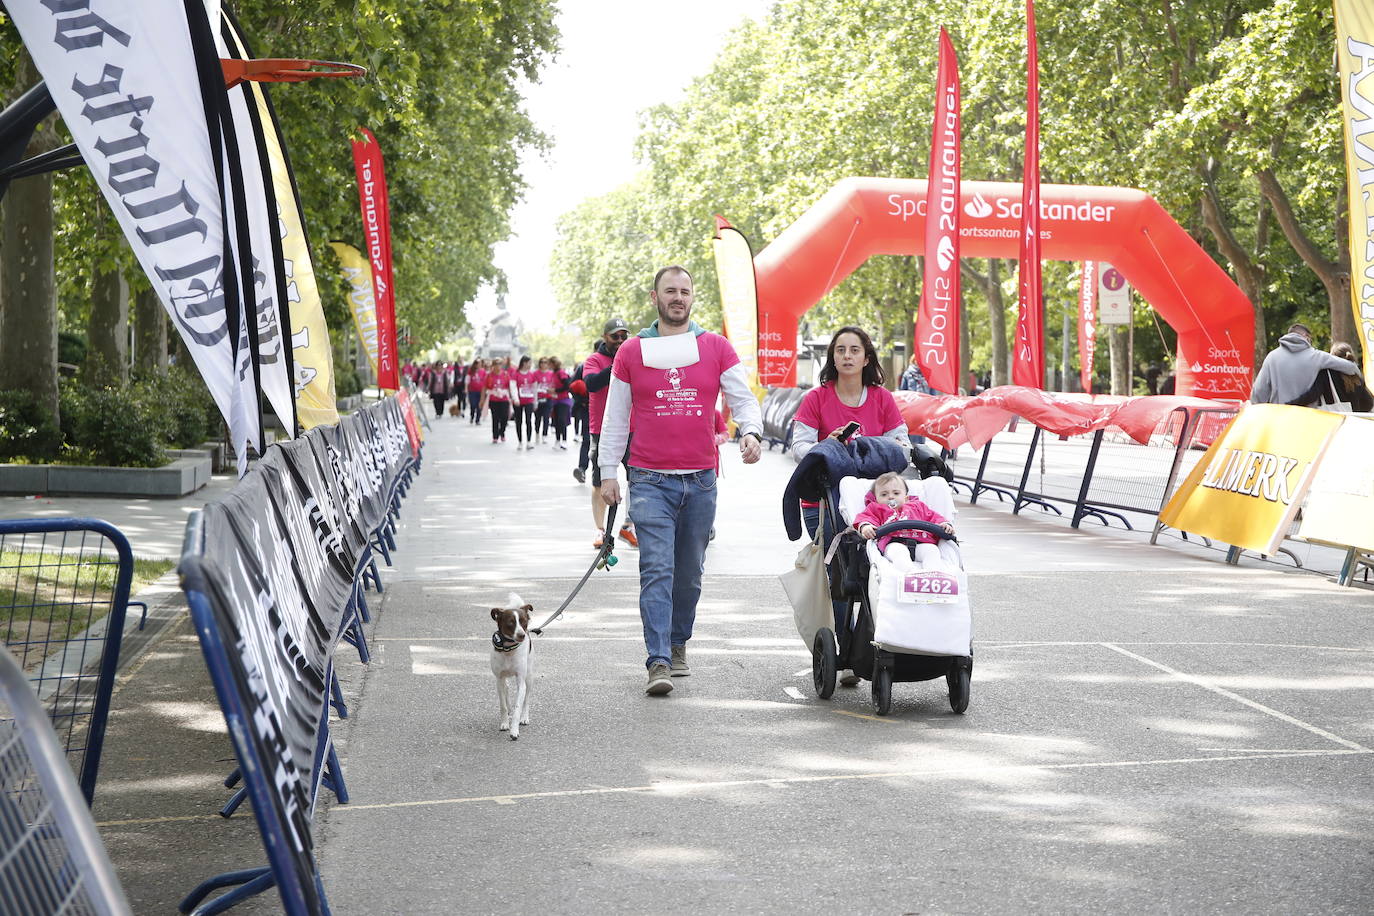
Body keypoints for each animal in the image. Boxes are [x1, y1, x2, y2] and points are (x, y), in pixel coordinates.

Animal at [489, 596, 530, 736]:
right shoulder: (499, 679)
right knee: (506, 689)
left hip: (529, 677)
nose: (522, 635)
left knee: (526, 699)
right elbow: (503, 705)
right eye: (511, 622)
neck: (508, 649)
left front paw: (514, 730)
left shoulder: (521, 681)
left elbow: (519, 706)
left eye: (523, 622)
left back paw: (524, 717)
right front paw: (505, 723)